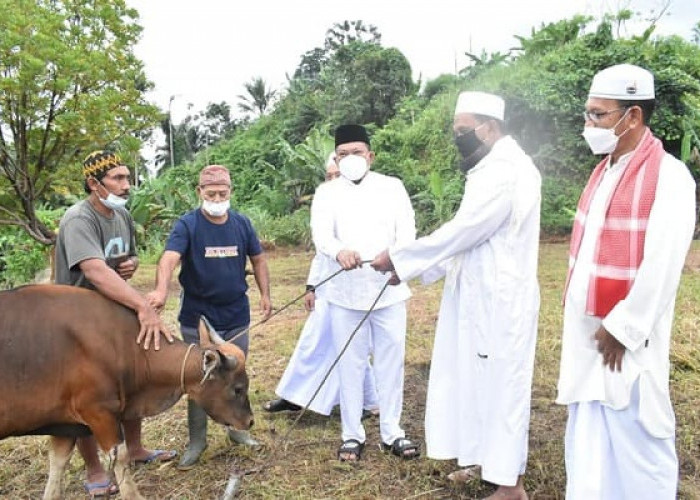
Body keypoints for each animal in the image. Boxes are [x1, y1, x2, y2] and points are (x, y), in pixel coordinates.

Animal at [0, 284, 252, 498]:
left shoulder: (65, 423)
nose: (250, 421)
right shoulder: (99, 413)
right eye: (238, 389)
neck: (122, 345)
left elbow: (57, 463)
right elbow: (121, 458)